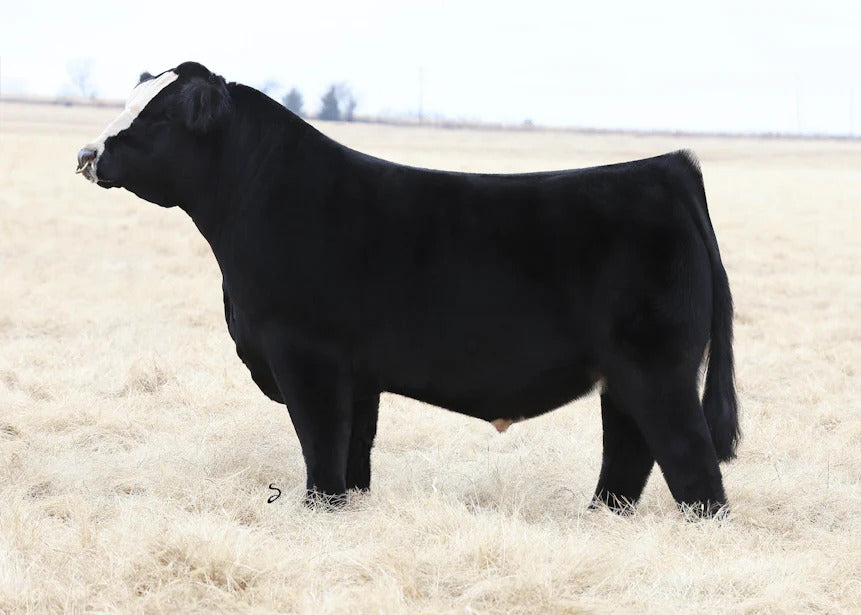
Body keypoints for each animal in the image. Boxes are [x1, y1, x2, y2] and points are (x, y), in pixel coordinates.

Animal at [76, 62, 739, 517]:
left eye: (160, 115)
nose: (88, 153)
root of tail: (666, 168)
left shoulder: (305, 354)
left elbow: (321, 441)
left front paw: (317, 510)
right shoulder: (357, 372)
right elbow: (354, 451)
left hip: (658, 368)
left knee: (691, 461)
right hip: (624, 375)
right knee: (629, 452)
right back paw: (599, 517)